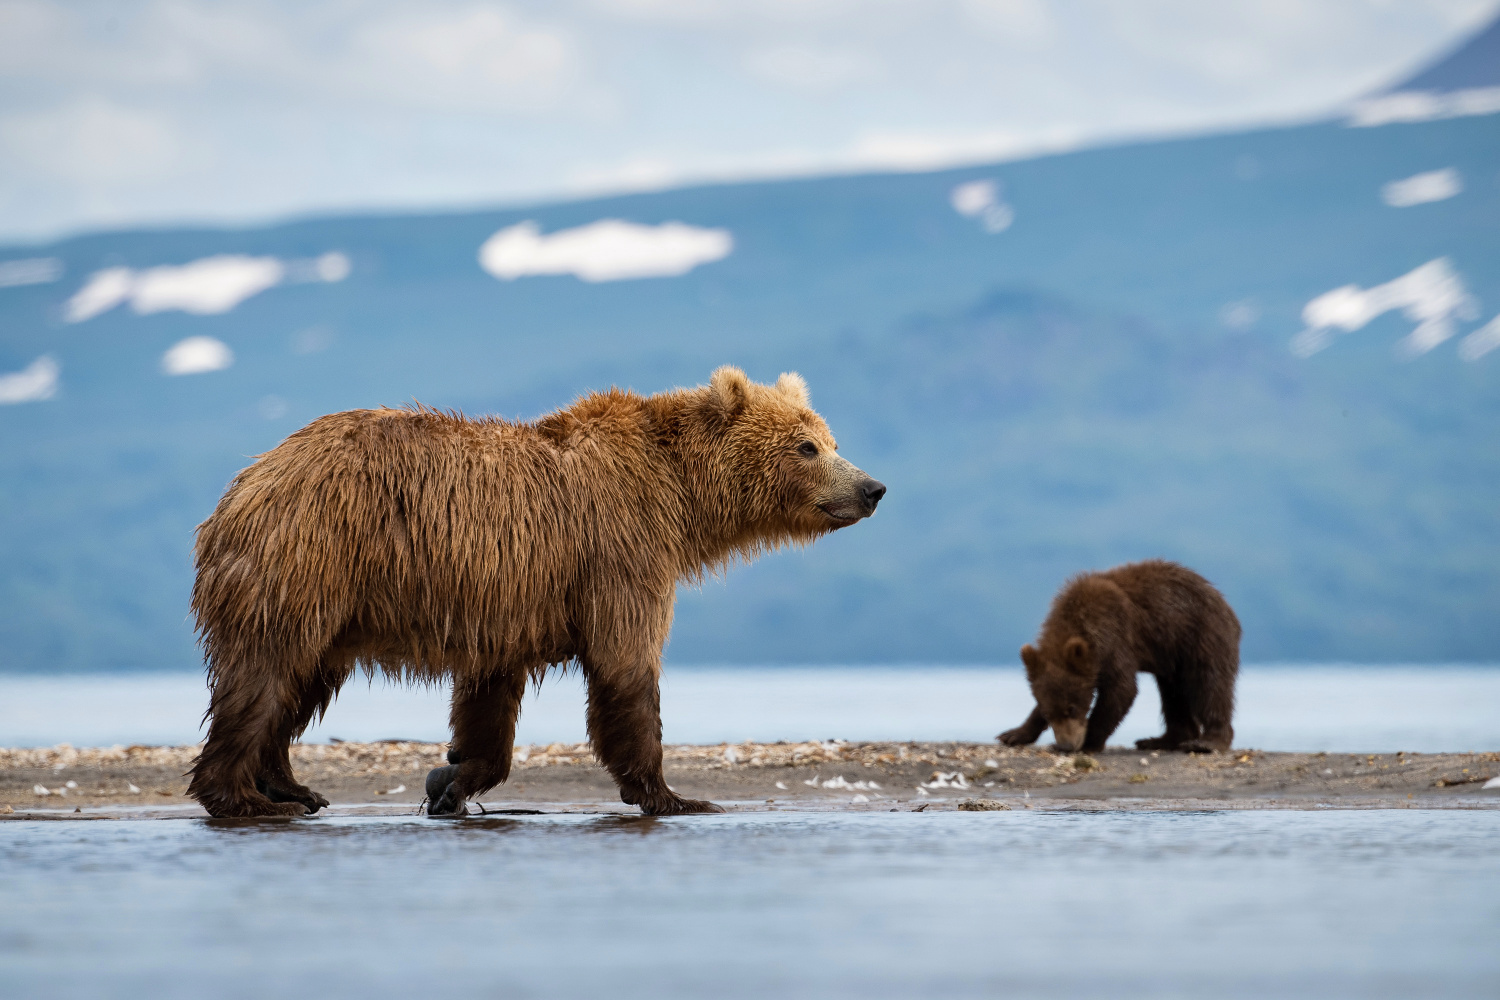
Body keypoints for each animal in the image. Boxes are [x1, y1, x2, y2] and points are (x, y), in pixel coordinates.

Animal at [192, 370, 882, 821]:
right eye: (807, 446)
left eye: (831, 439)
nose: (871, 488)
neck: (681, 496)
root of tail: (247, 481)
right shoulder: (618, 551)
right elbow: (627, 668)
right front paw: (674, 795)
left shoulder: (506, 602)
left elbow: (488, 701)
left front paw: (449, 778)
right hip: (309, 560)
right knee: (266, 676)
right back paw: (244, 798)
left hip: (330, 598)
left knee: (301, 682)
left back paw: (291, 788)